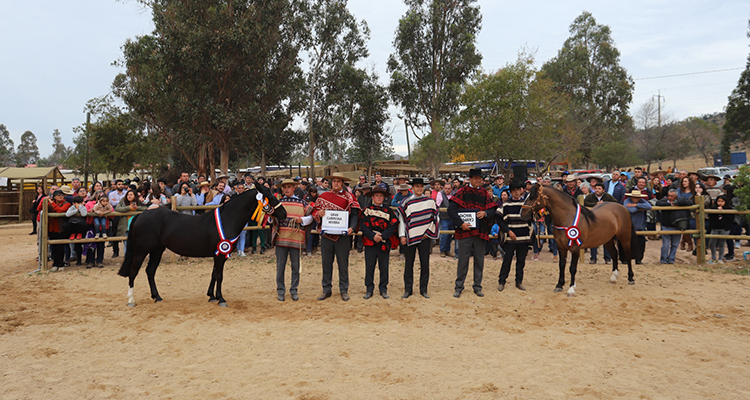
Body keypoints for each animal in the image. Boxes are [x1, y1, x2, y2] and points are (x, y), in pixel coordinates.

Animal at [119, 184, 286, 306]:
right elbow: (219, 276)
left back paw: (157, 297)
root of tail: (140, 215)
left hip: (157, 250)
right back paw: (131, 300)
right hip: (141, 251)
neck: (227, 219)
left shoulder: (218, 253)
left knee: (150, 271)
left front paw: (211, 296)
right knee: (134, 271)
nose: (284, 214)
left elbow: (213, 274)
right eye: (271, 197)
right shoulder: (220, 255)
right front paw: (221, 299)